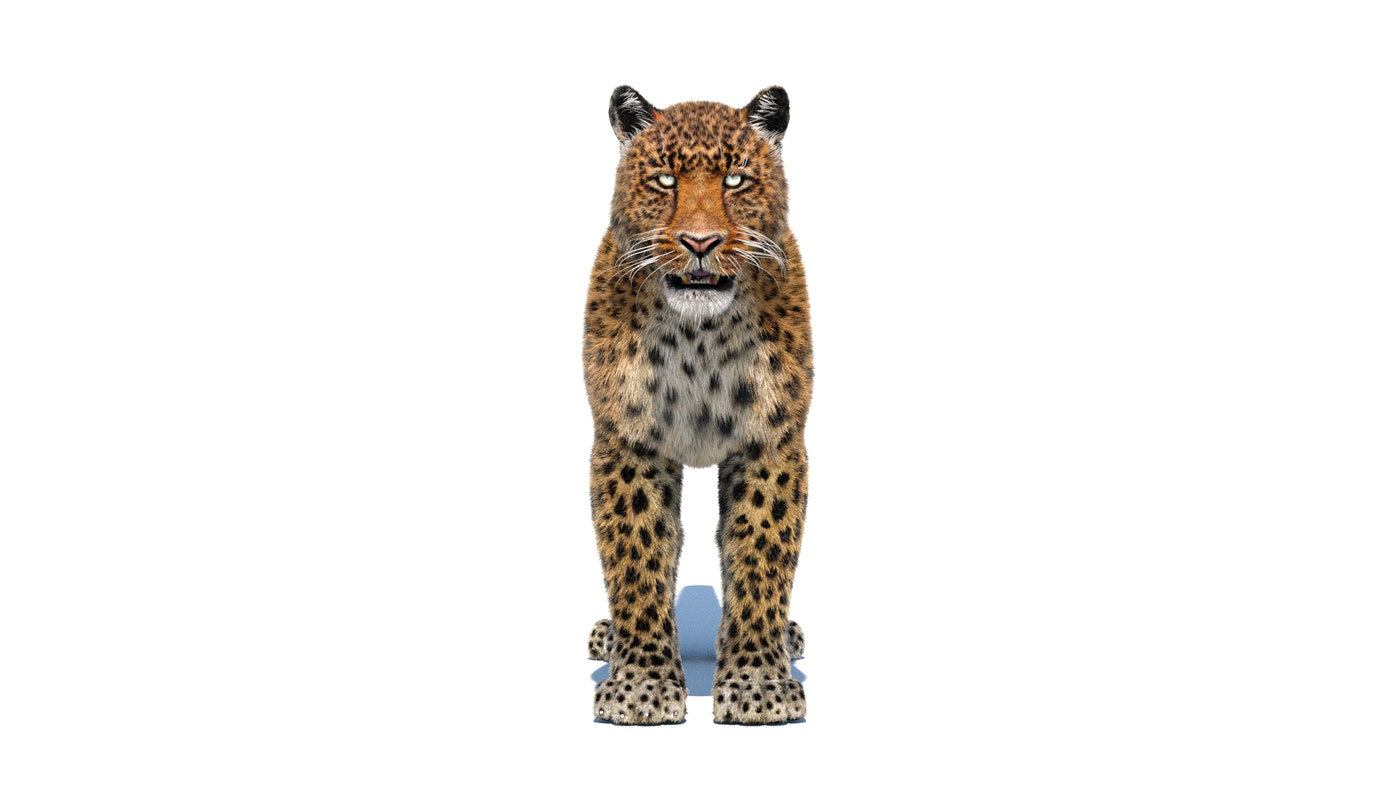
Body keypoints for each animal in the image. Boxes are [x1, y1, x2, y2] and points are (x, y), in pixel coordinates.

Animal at [582, 85, 814, 725]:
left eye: (735, 179)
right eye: (664, 180)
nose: (700, 243)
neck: (700, 337)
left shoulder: (770, 443)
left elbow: (760, 555)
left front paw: (759, 685)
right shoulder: (630, 443)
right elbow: (638, 559)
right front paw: (640, 687)